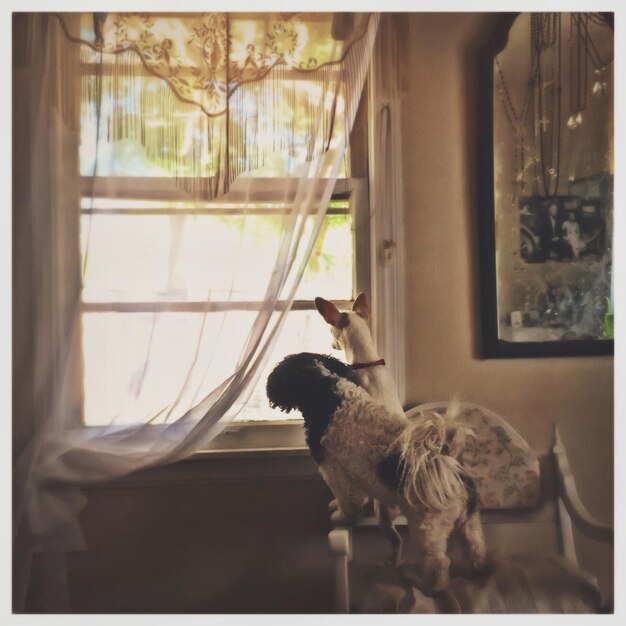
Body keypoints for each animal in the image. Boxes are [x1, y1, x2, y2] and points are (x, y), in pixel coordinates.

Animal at [266, 354, 486, 592]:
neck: (327, 395)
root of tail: (445, 463)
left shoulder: (335, 472)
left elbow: (346, 503)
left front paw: (342, 516)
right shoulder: (355, 475)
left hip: (427, 530)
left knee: (439, 564)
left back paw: (427, 585)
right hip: (469, 522)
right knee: (477, 547)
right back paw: (478, 570)